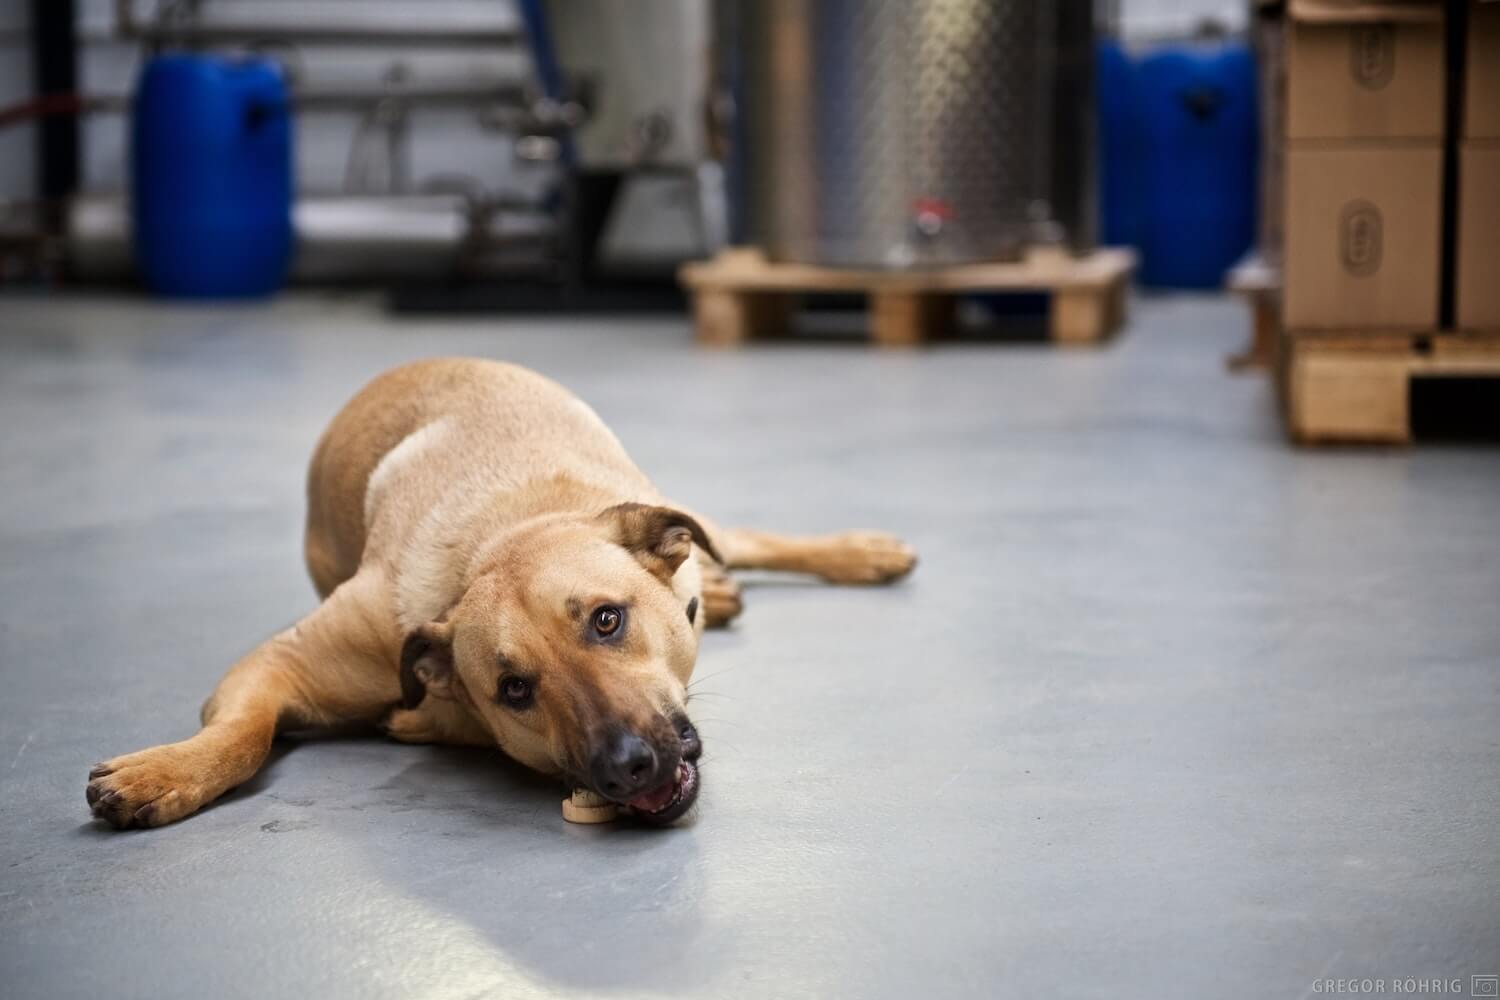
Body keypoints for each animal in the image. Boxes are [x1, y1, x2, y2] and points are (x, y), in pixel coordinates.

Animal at [85, 359, 912, 827]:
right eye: (513, 689)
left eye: (607, 621)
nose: (627, 768)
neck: (500, 538)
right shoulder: (281, 663)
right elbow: (243, 734)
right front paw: (172, 770)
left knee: (736, 535)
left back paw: (856, 553)